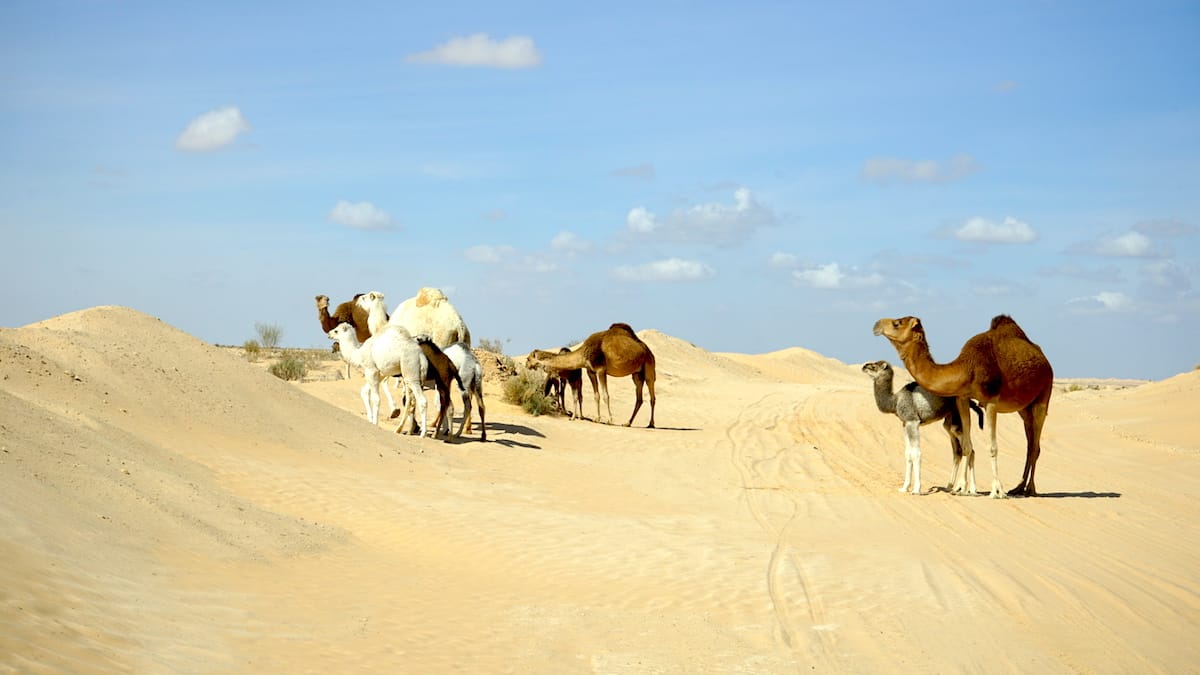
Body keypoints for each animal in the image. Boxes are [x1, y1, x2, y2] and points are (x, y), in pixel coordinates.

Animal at [525, 321, 657, 425]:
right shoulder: (590, 371)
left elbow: (605, 395)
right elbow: (596, 395)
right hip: (637, 374)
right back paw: (627, 423)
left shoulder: (601, 369)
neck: (584, 352)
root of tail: (648, 350)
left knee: (652, 395)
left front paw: (609, 420)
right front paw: (597, 419)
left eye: (528, 358)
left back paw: (651, 424)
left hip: (649, 365)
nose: (527, 365)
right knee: (639, 398)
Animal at [864, 357, 984, 494]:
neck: (895, 401)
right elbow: (908, 454)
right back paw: (957, 487)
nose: (864, 366)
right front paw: (904, 488)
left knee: (967, 448)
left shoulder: (913, 421)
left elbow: (916, 454)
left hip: (958, 416)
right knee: (960, 450)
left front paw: (916, 489)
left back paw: (965, 489)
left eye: (874, 366)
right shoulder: (905, 423)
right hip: (950, 419)